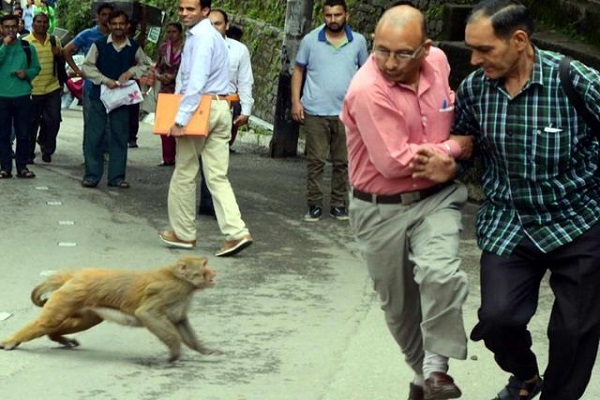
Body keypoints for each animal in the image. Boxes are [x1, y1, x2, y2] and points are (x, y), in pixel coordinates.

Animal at [0, 256, 217, 362]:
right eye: (204, 266)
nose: (214, 272)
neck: (181, 279)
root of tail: (76, 274)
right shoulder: (170, 291)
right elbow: (147, 314)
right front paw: (174, 351)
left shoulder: (180, 298)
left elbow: (180, 321)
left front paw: (204, 349)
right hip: (70, 295)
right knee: (46, 322)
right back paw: (12, 340)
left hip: (78, 300)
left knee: (83, 321)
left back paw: (56, 336)